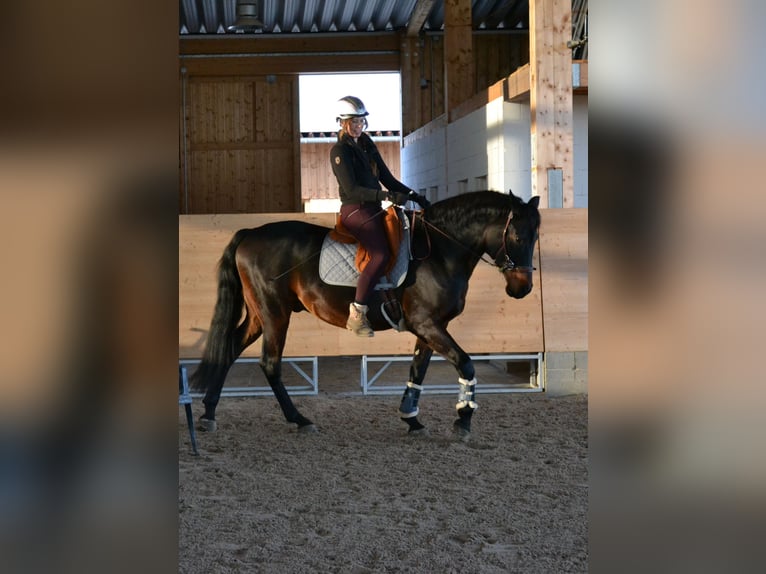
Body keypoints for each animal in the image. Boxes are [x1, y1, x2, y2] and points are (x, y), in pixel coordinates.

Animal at [191, 190, 541, 437]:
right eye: (518, 236)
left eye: (536, 236)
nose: (522, 288)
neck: (440, 251)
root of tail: (250, 233)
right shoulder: (427, 324)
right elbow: (465, 363)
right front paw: (464, 418)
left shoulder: (429, 327)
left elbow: (418, 370)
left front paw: (411, 418)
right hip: (275, 314)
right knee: (270, 363)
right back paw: (299, 419)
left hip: (259, 315)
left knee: (230, 349)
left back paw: (208, 413)